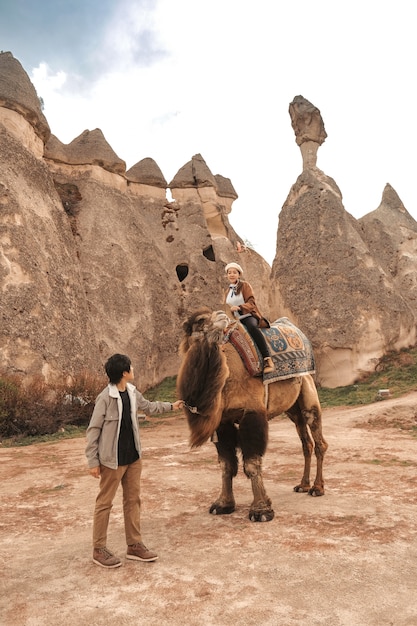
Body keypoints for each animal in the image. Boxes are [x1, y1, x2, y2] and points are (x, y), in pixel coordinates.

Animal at [177, 304, 326, 520]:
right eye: (200, 320)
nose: (222, 316)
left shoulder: (252, 412)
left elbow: (252, 463)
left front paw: (261, 510)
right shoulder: (223, 421)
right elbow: (226, 464)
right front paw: (222, 504)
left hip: (308, 387)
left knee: (318, 438)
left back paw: (317, 488)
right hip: (292, 410)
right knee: (306, 442)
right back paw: (303, 485)